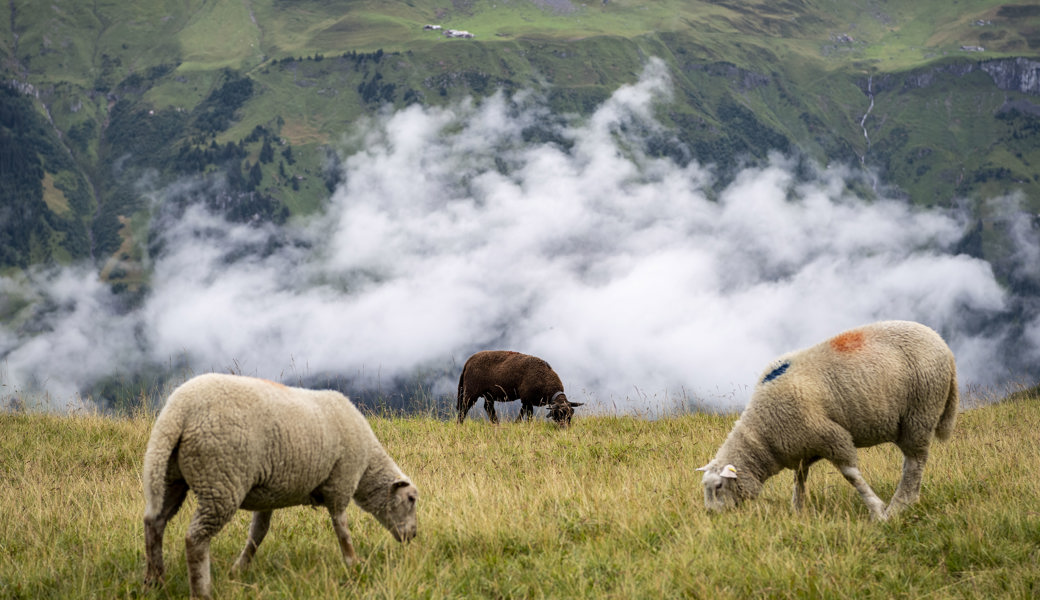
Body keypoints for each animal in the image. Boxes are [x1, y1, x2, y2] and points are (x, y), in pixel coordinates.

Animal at [143, 372, 418, 594]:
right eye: (411, 499)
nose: (413, 535)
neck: (368, 465)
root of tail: (179, 410)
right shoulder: (341, 482)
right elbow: (342, 529)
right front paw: (353, 564)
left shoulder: (268, 497)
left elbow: (258, 533)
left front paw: (239, 569)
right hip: (221, 479)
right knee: (195, 538)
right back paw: (201, 591)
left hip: (170, 476)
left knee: (154, 522)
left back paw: (155, 581)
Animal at [457, 351, 586, 426]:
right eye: (559, 414)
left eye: (571, 415)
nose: (565, 429)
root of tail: (468, 361)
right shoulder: (526, 398)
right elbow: (528, 414)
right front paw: (524, 425)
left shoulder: (526, 400)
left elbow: (523, 413)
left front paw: (516, 424)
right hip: (471, 391)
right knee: (464, 407)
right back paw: (460, 424)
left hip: (488, 393)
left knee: (488, 408)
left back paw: (496, 424)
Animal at [698, 318, 956, 519]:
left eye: (719, 486)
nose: (711, 514)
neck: (764, 433)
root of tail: (941, 342)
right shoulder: (802, 448)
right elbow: (799, 480)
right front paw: (797, 511)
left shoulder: (832, 436)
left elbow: (852, 476)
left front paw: (877, 511)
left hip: (920, 413)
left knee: (914, 463)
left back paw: (900, 506)